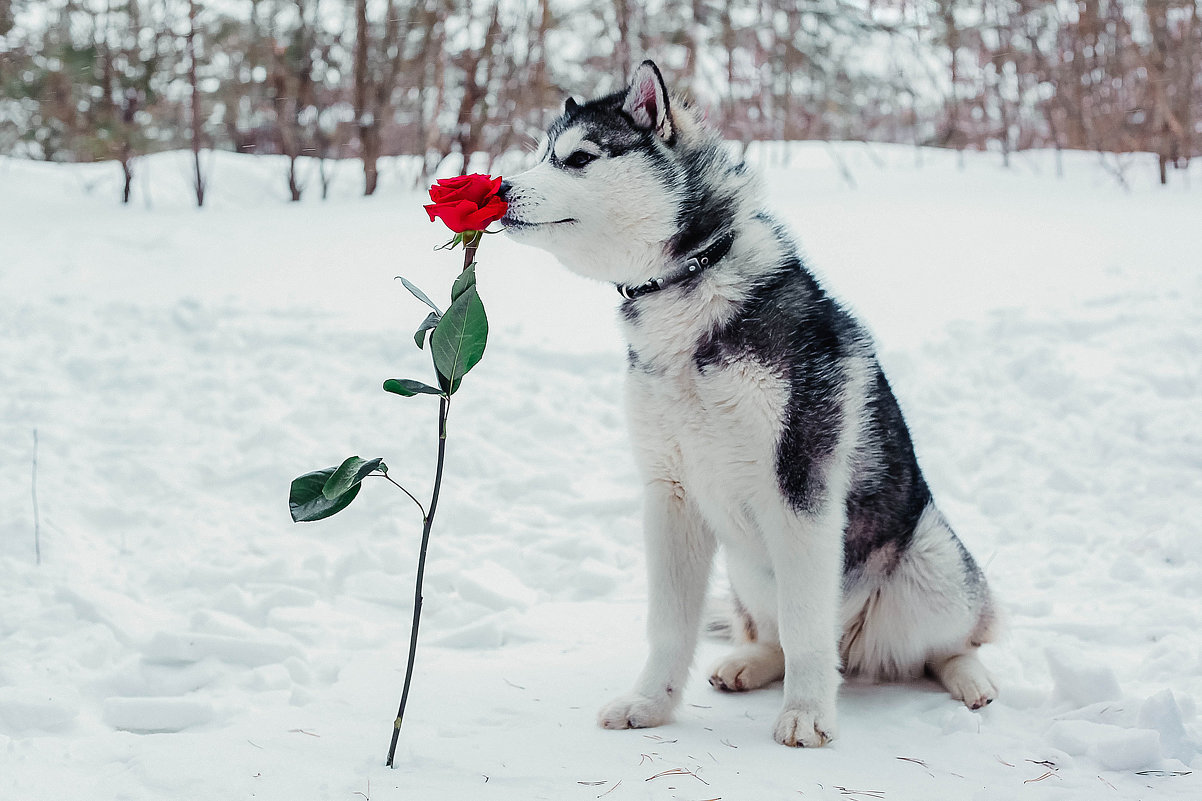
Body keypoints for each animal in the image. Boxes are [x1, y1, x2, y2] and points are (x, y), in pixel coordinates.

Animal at [497, 60, 995, 740]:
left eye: (578, 158)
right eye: (540, 155)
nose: (498, 189)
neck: (689, 287)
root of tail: (860, 651)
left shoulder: (801, 490)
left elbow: (808, 626)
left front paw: (807, 713)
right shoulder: (670, 495)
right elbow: (669, 626)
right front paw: (651, 704)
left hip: (932, 561)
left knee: (947, 643)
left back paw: (969, 677)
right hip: (747, 566)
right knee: (774, 635)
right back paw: (750, 662)